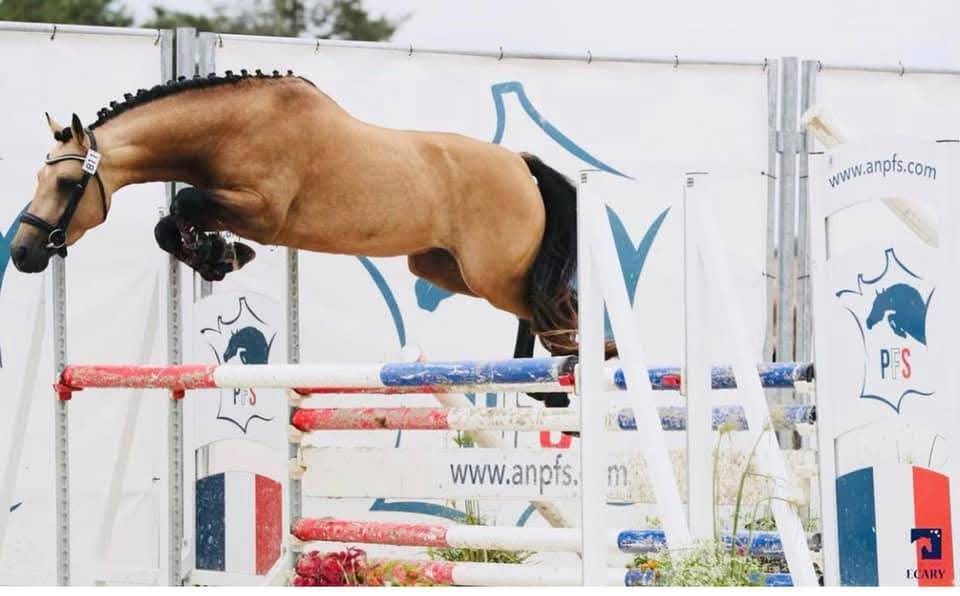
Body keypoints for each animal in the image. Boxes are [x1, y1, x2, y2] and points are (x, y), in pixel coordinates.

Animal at [11, 70, 598, 405]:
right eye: (39, 178)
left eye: (66, 183)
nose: (22, 253)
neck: (228, 127)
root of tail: (520, 163)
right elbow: (169, 222)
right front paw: (214, 255)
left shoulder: (264, 211)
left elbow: (183, 204)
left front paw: (223, 253)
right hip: (443, 268)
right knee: (537, 309)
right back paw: (542, 382)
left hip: (491, 272)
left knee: (554, 305)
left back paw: (569, 376)